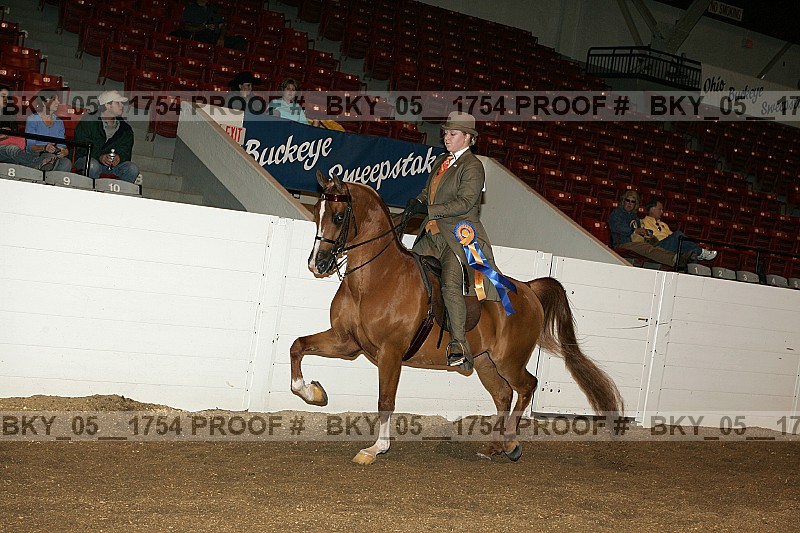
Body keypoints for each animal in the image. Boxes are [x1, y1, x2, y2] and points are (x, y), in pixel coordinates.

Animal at [290, 171, 624, 464]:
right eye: (317, 211)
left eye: (338, 216)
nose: (316, 263)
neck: (376, 278)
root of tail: (528, 289)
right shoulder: (347, 342)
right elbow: (298, 346)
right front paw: (314, 393)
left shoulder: (390, 353)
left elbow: (385, 400)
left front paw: (375, 449)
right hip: (485, 362)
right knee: (503, 395)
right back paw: (494, 448)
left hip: (510, 361)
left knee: (527, 387)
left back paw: (511, 443)